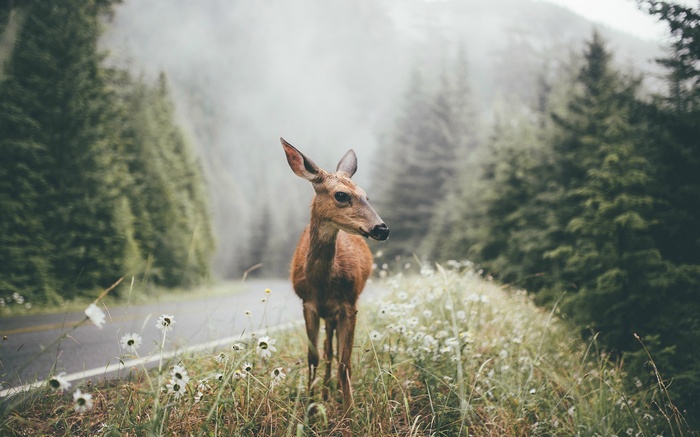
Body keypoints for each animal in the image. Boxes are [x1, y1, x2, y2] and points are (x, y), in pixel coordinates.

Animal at [281, 137, 389, 419]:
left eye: (366, 196)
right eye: (341, 195)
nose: (382, 229)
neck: (321, 285)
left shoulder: (349, 305)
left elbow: (345, 361)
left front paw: (349, 412)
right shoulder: (308, 304)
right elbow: (314, 357)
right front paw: (310, 408)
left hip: (339, 310)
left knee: (335, 350)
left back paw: (334, 393)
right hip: (326, 313)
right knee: (327, 350)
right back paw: (326, 393)